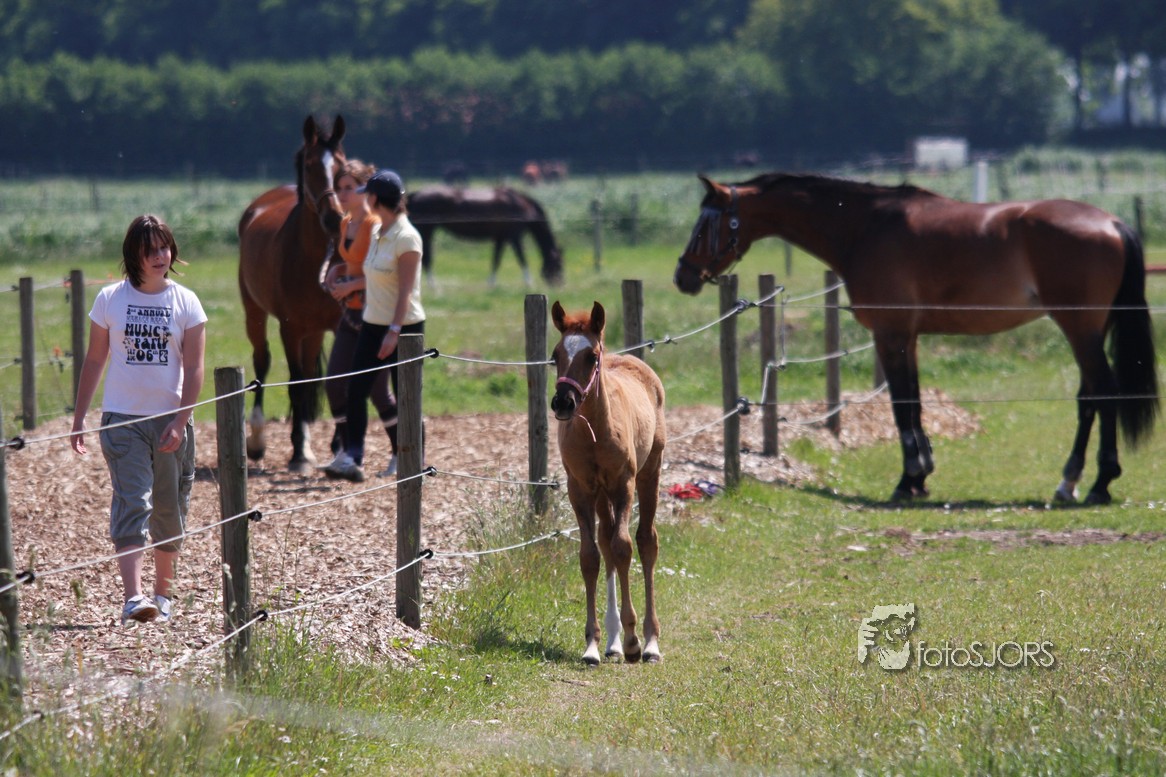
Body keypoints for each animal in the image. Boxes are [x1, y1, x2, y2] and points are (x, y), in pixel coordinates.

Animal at [237, 115, 347, 472]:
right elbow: (295, 385)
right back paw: (257, 441)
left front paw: (337, 447)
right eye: (310, 165)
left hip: (313, 332)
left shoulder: (337, 326)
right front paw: (298, 454)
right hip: (255, 313)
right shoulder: (291, 328)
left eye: (341, 166)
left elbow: (333, 380)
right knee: (262, 362)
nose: (334, 218)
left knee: (311, 376)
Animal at [406, 185, 564, 287]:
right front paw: (528, 282)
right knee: (426, 259)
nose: (560, 283)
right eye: (558, 263)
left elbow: (496, 260)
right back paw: (433, 286)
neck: (520, 203)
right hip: (426, 232)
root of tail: (416, 194)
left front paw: (491, 283)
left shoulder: (501, 238)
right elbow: (521, 258)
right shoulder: (514, 237)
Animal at [551, 300, 667, 664]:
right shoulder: (580, 489)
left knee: (646, 541)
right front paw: (592, 644)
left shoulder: (622, 484)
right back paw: (612, 642)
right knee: (604, 540)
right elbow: (591, 556)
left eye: (591, 356)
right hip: (600, 495)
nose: (563, 402)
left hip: (649, 472)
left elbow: (623, 546)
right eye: (555, 355)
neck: (594, 431)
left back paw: (650, 642)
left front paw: (633, 641)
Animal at [674, 173, 1159, 504]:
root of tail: (1113, 222)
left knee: (1104, 394)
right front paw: (922, 475)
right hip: (1090, 330)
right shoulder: (910, 337)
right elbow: (917, 403)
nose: (683, 277)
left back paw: (1097, 482)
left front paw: (908, 479)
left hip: (1079, 328)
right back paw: (1072, 481)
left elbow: (901, 406)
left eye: (705, 225)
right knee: (1090, 397)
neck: (864, 228)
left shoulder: (890, 336)